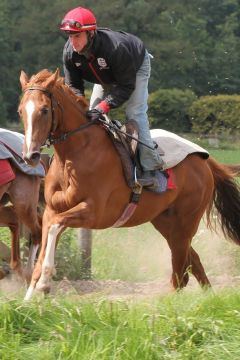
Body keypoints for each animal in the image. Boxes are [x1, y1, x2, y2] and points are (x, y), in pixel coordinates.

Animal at [18, 69, 240, 300]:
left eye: (44, 110)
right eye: (20, 111)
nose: (30, 156)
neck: (75, 154)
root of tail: (204, 160)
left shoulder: (95, 213)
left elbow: (55, 227)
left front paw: (44, 283)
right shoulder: (52, 209)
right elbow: (46, 239)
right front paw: (28, 299)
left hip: (186, 222)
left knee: (180, 273)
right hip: (165, 222)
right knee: (193, 262)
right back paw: (208, 299)